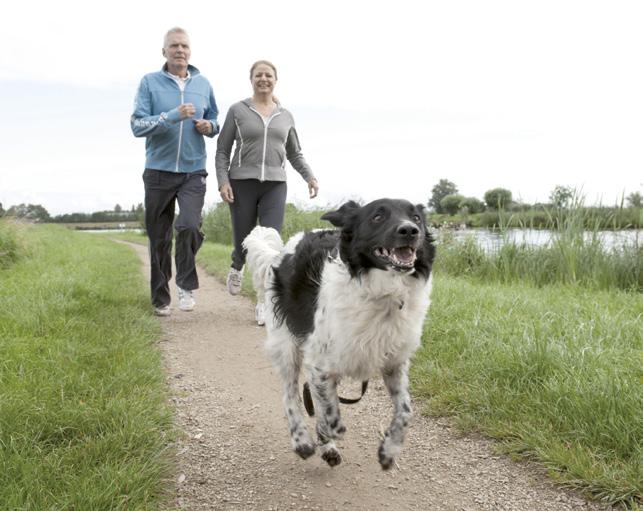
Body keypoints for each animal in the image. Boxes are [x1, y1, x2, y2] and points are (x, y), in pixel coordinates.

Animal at [243, 198, 438, 470]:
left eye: (417, 217)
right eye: (377, 216)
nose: (410, 230)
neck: (384, 293)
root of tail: (282, 254)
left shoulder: (394, 363)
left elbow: (405, 411)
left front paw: (389, 450)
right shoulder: (319, 363)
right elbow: (329, 412)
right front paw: (327, 432)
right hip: (286, 347)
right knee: (290, 396)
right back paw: (302, 441)